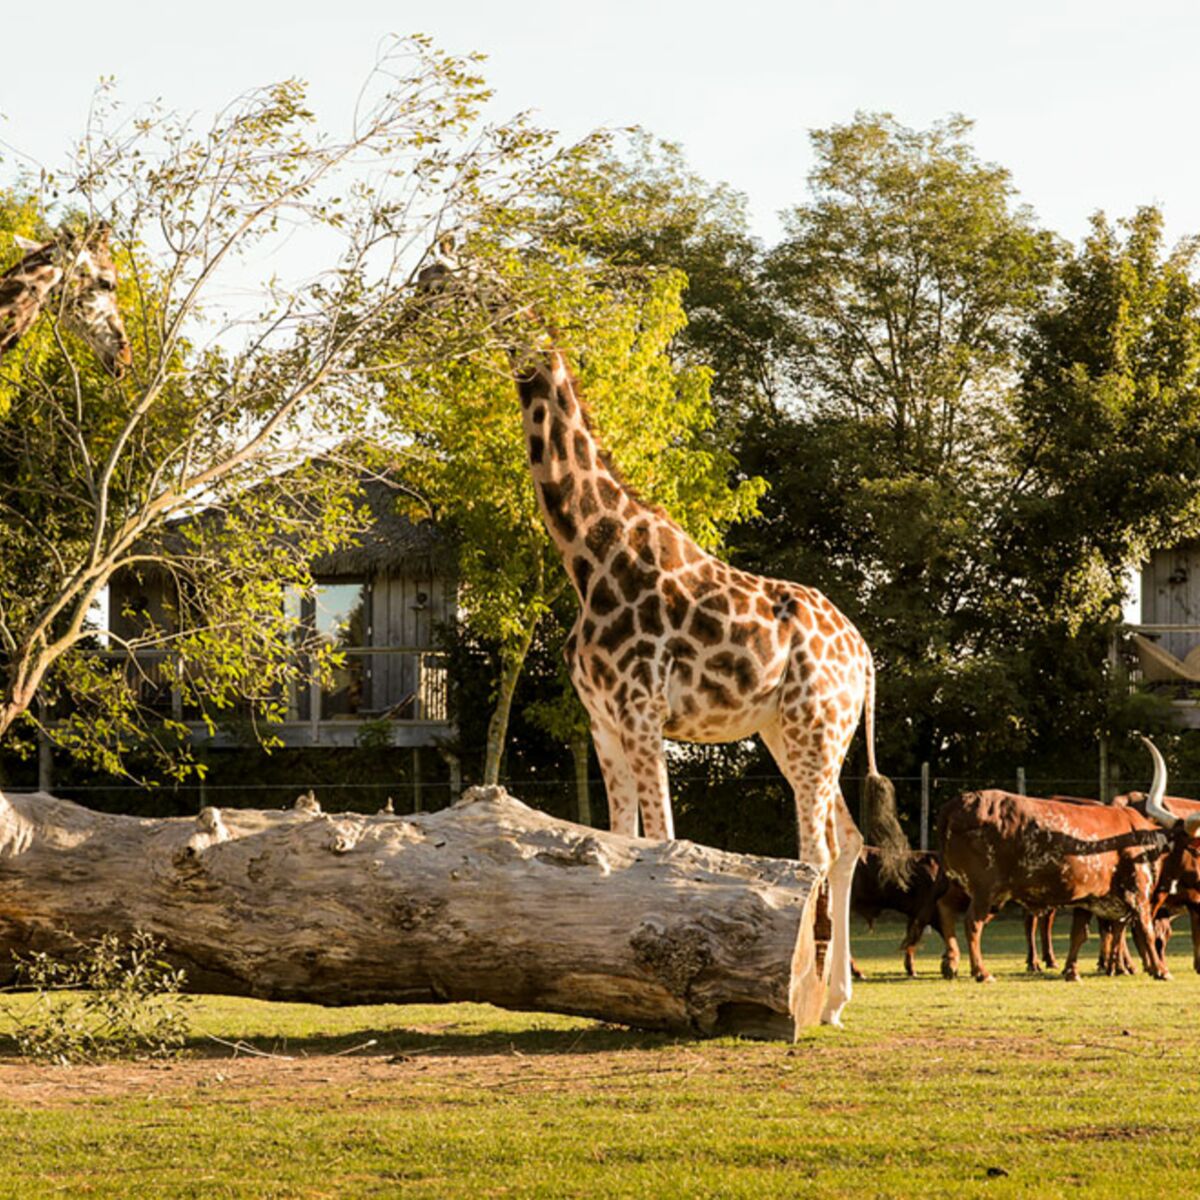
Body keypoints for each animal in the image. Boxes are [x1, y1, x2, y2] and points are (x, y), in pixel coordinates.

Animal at [936, 739, 1200, 984]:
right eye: (1197, 850)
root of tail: (954, 805)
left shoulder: (1089, 898)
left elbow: (1081, 934)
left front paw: (1073, 971)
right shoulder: (1139, 893)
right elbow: (1146, 929)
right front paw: (1160, 970)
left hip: (963, 884)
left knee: (945, 907)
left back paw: (950, 963)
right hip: (986, 890)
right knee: (972, 922)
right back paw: (981, 972)